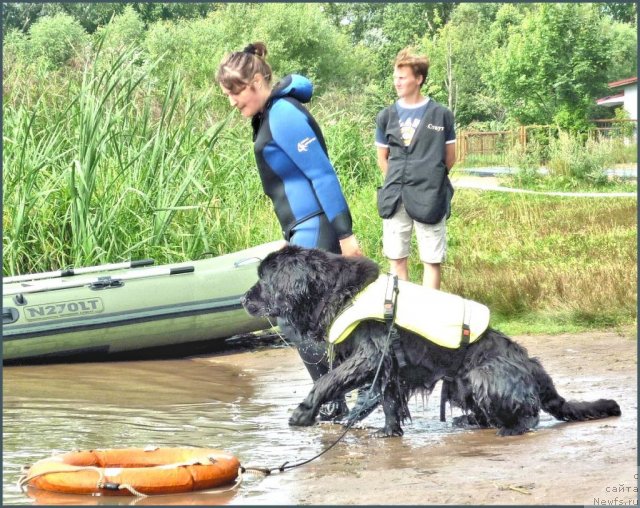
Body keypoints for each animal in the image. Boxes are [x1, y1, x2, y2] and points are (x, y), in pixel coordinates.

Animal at [241, 246, 620, 436]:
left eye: (263, 280)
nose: (244, 298)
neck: (343, 293)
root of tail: (534, 368)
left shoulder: (371, 353)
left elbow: (327, 381)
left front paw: (303, 412)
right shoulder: (387, 364)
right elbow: (389, 400)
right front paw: (389, 432)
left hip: (482, 375)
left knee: (528, 416)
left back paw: (508, 430)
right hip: (460, 385)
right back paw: (469, 422)